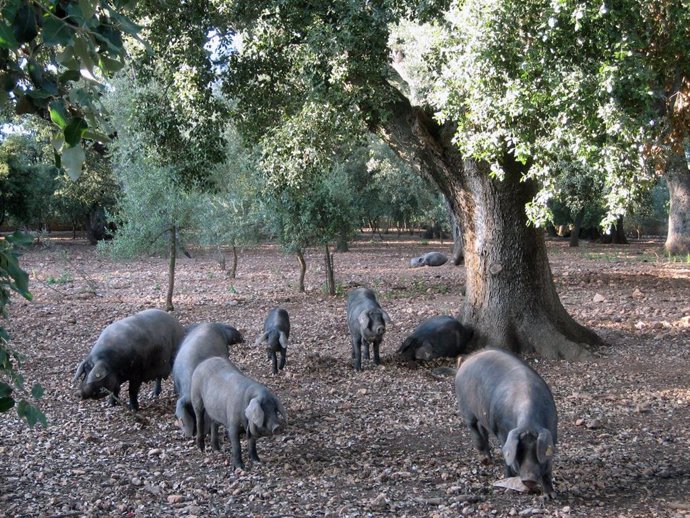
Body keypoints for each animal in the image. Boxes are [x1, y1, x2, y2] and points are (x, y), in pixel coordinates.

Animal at [454, 350, 556, 500]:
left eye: (535, 451)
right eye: (519, 451)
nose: (529, 479)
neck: (529, 423)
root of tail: (467, 359)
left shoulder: (552, 433)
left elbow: (547, 468)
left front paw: (551, 496)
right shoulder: (502, 431)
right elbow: (505, 455)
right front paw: (508, 482)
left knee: (483, 430)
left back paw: (489, 460)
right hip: (466, 408)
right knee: (473, 428)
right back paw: (484, 461)